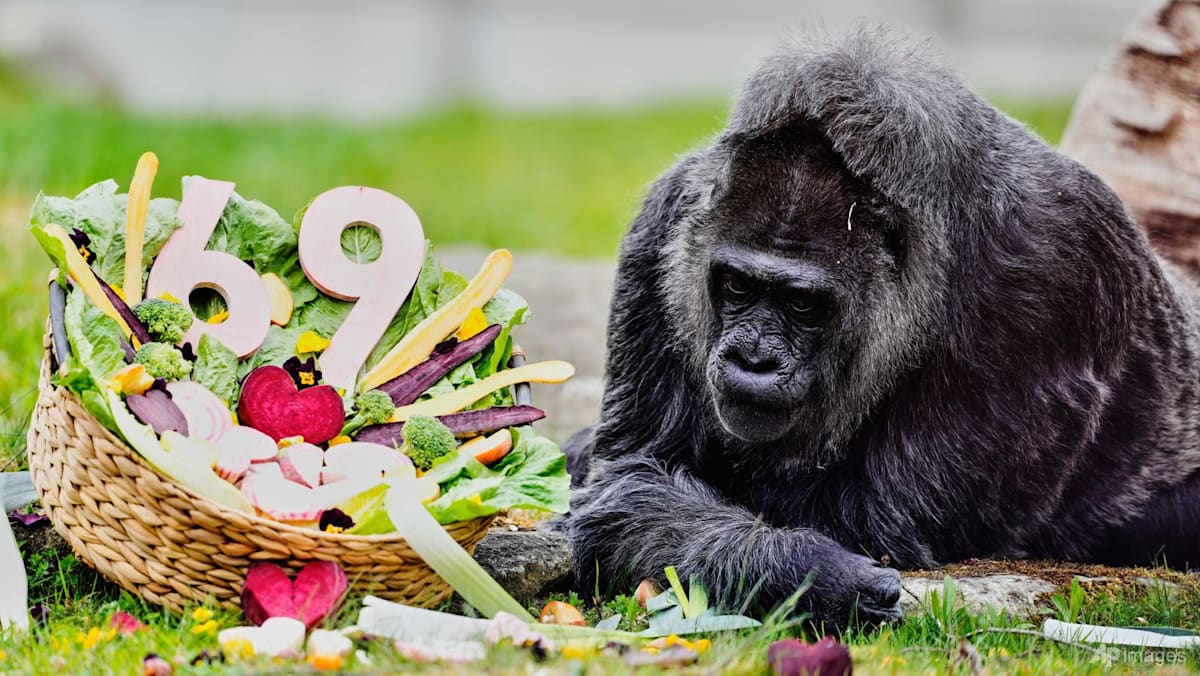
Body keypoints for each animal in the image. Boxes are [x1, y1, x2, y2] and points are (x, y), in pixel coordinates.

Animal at [562, 28, 1200, 627]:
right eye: (738, 287)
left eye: (802, 305)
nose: (753, 359)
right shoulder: (664, 223)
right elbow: (631, 477)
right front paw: (798, 568)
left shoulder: (1053, 266)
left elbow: (873, 519)